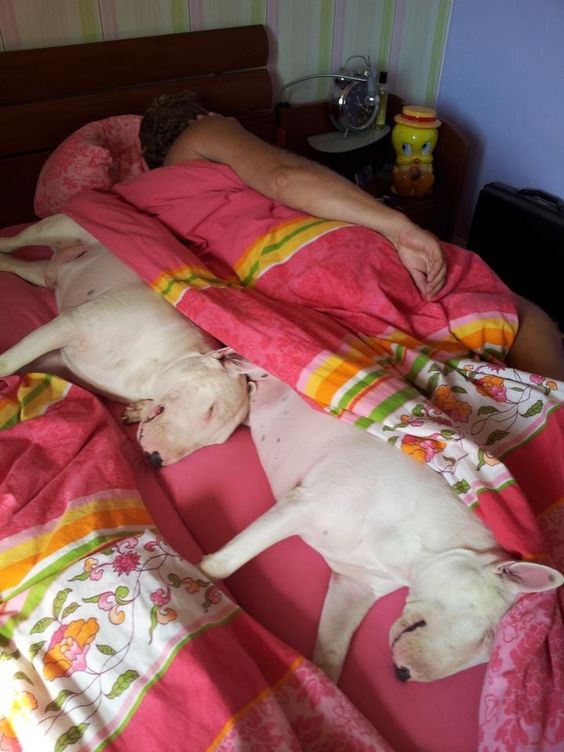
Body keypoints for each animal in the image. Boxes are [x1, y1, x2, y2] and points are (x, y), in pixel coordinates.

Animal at [0, 214, 249, 468]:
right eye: (210, 410)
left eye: (214, 443)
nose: (155, 459)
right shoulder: (73, 323)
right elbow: (9, 363)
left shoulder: (55, 360)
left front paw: (138, 410)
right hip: (58, 228)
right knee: (14, 241)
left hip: (41, 273)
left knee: (19, 265)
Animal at [200, 362, 560, 684]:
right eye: (485, 636)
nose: (403, 675)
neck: (413, 550)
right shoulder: (304, 504)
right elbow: (224, 564)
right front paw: (202, 576)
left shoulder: (354, 585)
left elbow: (333, 651)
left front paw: (327, 688)